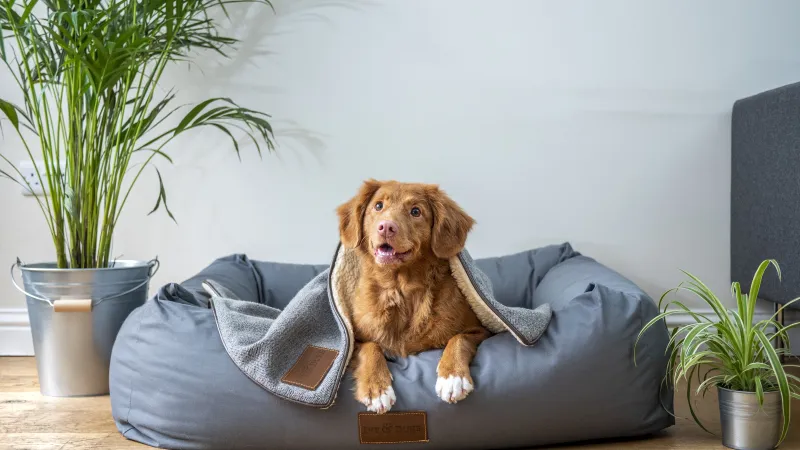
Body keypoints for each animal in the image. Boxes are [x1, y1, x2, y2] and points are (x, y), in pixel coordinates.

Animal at [334, 179, 490, 414]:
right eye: (378, 206)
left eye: (416, 211)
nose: (386, 227)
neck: (400, 289)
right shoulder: (353, 340)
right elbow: (371, 347)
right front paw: (377, 388)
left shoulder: (481, 330)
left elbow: (459, 338)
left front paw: (453, 377)